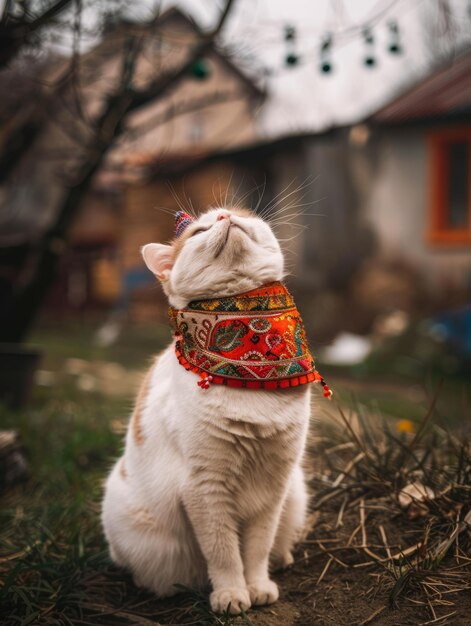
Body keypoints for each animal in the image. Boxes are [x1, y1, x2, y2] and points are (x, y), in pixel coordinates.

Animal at [101, 207, 312, 612]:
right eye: (199, 231)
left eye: (240, 213)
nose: (226, 215)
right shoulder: (204, 487)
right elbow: (224, 553)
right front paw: (231, 594)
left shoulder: (274, 486)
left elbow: (257, 549)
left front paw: (258, 586)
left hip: (295, 493)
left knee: (277, 545)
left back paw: (281, 560)